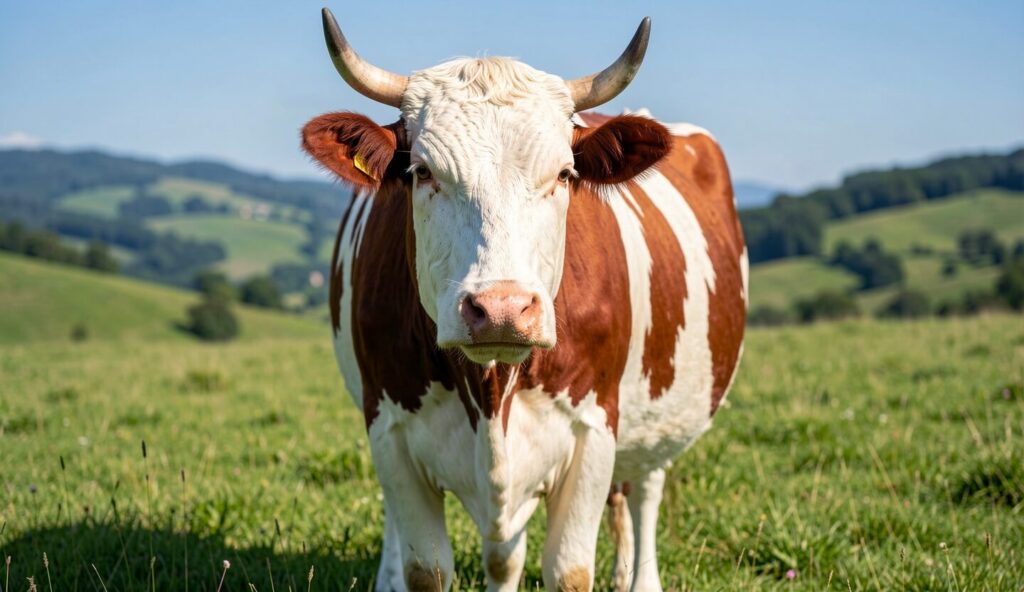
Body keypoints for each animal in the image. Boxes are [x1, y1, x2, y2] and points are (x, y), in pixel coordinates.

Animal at [301, 9, 747, 592]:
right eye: (423, 172)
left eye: (563, 174)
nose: (502, 309)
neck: (491, 388)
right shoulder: (389, 429)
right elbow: (428, 567)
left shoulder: (593, 431)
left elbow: (569, 569)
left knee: (644, 490)